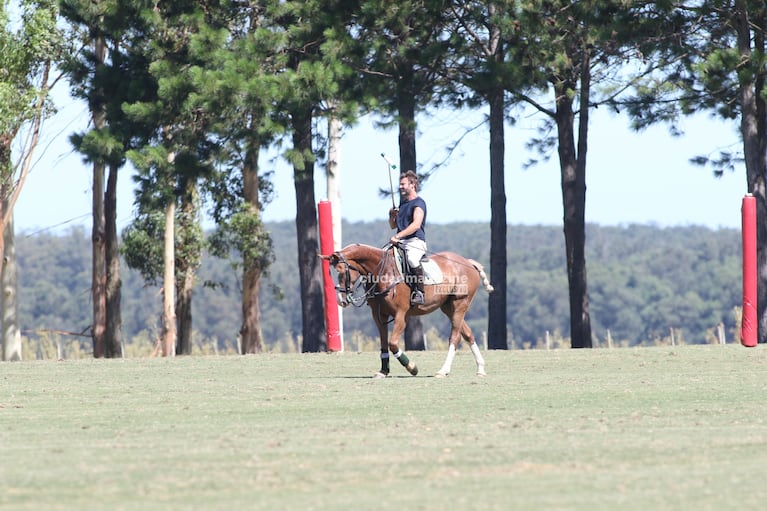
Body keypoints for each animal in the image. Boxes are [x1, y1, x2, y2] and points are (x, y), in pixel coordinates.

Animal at [320, 242, 496, 378]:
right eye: (330, 272)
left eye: (341, 270)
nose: (341, 300)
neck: (382, 272)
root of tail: (468, 262)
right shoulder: (379, 316)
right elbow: (384, 344)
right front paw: (383, 371)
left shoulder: (401, 315)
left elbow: (392, 344)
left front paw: (412, 367)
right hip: (448, 308)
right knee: (468, 334)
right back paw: (480, 369)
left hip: (460, 304)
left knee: (455, 337)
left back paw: (443, 370)